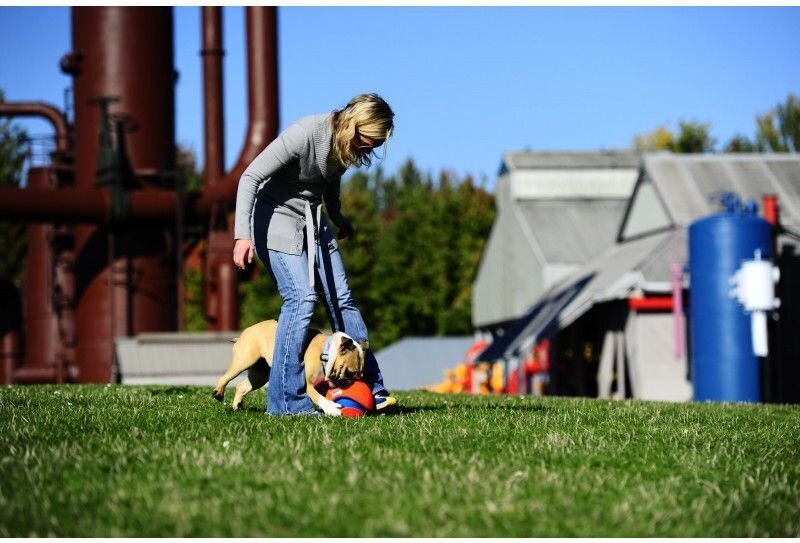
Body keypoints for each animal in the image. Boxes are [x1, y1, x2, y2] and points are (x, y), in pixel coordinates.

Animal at [209, 318, 366, 416]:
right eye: (350, 372)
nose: (354, 381)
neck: (325, 352)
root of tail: (244, 332)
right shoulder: (307, 385)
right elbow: (318, 397)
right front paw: (332, 409)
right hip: (243, 360)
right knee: (225, 377)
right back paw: (218, 393)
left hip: (260, 376)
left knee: (242, 386)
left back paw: (237, 406)